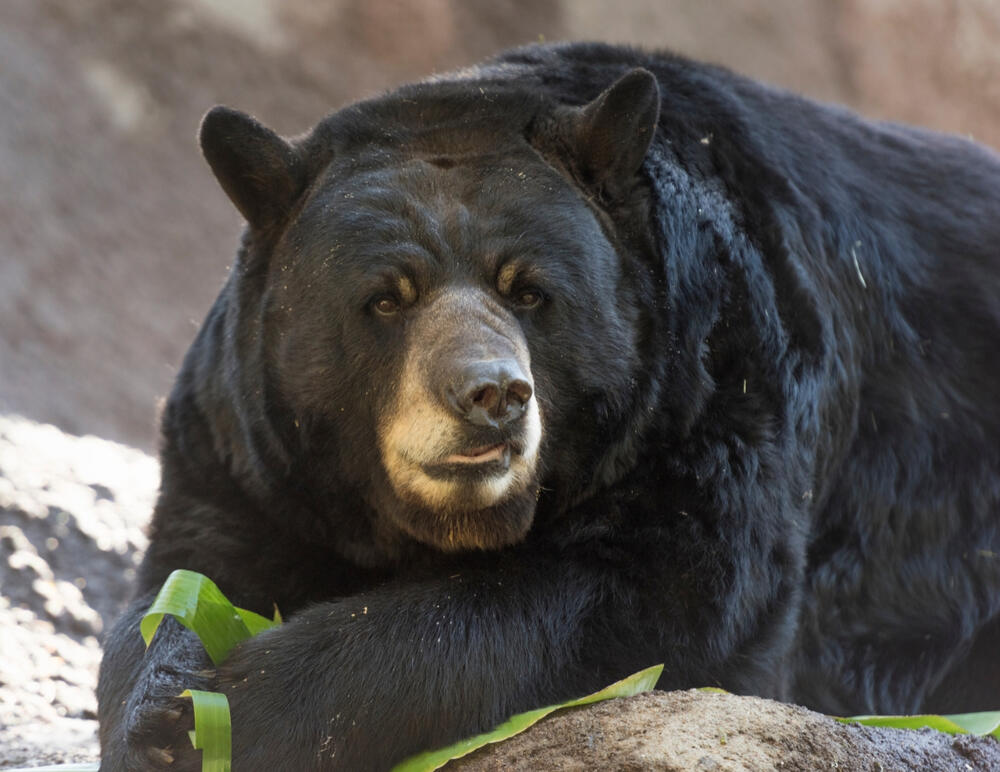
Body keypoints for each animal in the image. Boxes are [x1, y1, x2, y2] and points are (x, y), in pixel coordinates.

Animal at [97, 41, 1000, 771]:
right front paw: (163, 698)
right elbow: (188, 570)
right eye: (387, 298)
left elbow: (653, 598)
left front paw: (239, 709)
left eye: (528, 289)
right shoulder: (248, 446)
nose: (491, 395)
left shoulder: (716, 385)